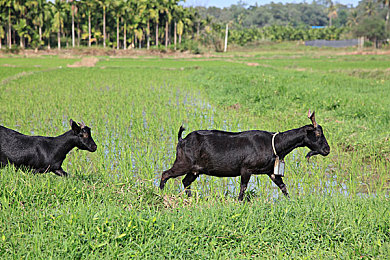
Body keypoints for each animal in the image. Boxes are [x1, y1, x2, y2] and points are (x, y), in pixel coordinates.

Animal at [160, 110, 330, 200]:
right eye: (318, 133)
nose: (327, 150)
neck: (275, 144)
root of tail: (182, 139)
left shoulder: (271, 172)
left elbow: (282, 186)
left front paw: (291, 201)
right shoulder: (246, 169)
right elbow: (243, 187)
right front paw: (239, 202)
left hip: (195, 169)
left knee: (185, 181)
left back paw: (190, 198)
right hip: (183, 163)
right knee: (165, 174)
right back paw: (160, 194)